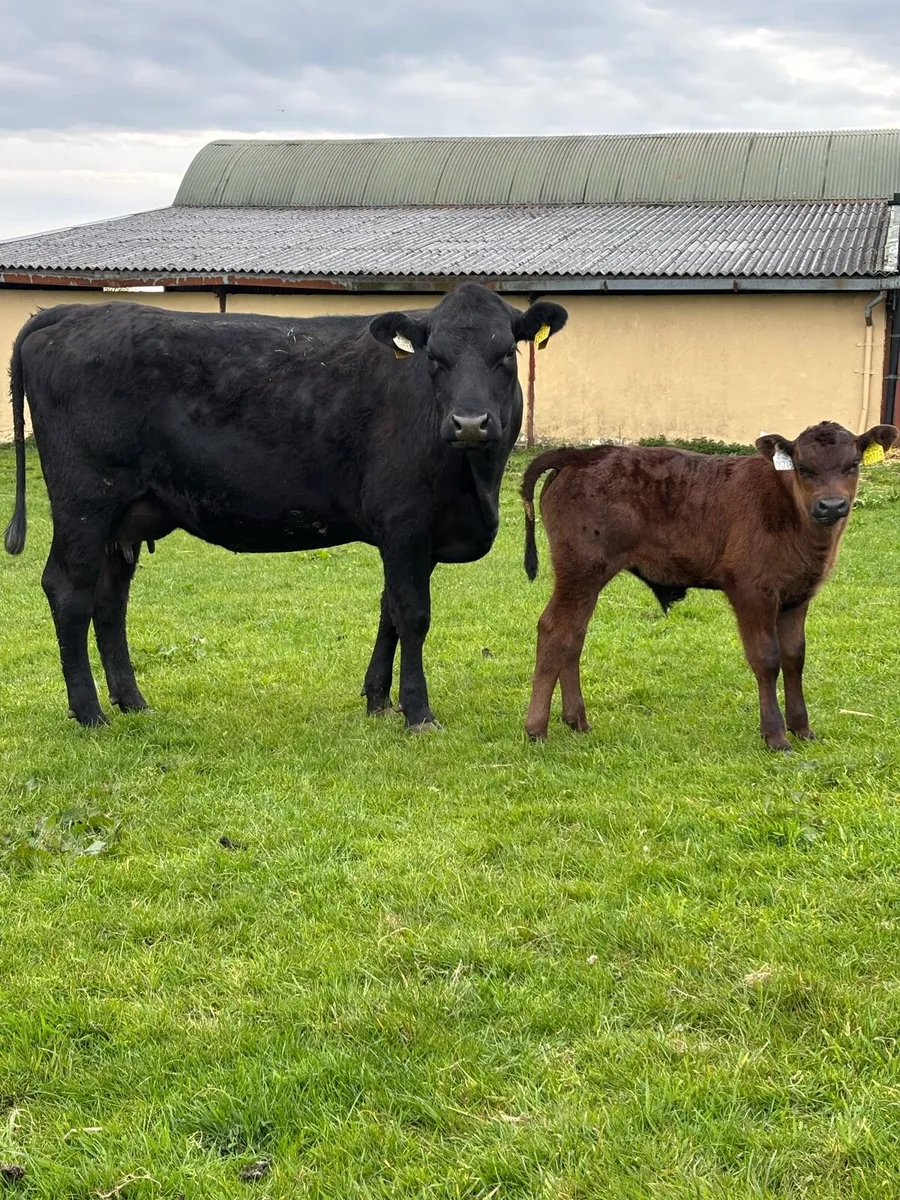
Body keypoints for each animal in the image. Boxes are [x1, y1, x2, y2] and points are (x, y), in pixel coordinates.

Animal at [3, 284, 567, 729]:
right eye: (435, 359)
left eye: (506, 355)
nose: (469, 422)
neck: (474, 481)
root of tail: (71, 312)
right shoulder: (405, 523)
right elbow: (412, 614)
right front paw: (418, 711)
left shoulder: (414, 538)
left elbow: (388, 608)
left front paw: (379, 700)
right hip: (84, 503)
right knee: (69, 591)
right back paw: (89, 712)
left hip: (125, 518)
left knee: (109, 599)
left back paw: (131, 702)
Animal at [520, 420, 898, 751]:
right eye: (803, 467)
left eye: (853, 465)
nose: (831, 505)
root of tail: (580, 455)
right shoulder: (751, 591)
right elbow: (767, 658)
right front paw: (775, 736)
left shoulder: (797, 596)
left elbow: (794, 658)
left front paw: (802, 728)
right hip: (581, 570)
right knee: (554, 630)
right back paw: (536, 728)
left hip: (586, 578)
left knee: (574, 635)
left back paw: (576, 719)